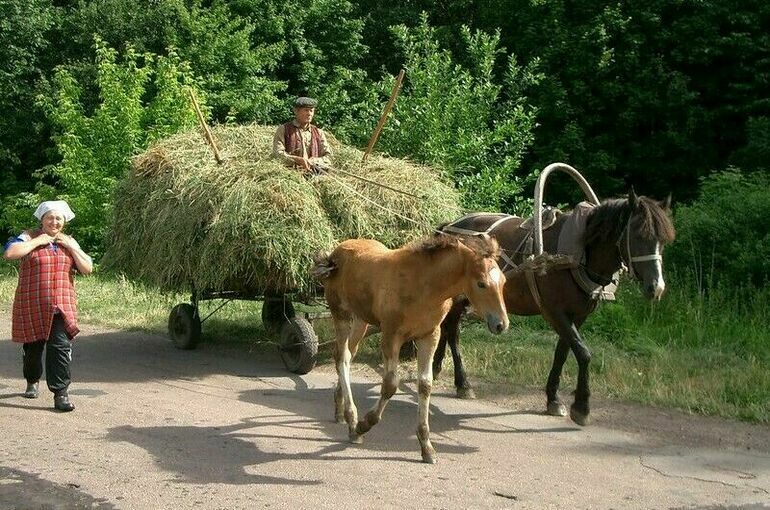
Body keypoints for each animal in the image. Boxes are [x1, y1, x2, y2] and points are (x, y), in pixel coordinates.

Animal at [308, 233, 508, 464]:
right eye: (481, 284)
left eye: (504, 281)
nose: (501, 324)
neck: (423, 285)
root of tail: (336, 253)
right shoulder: (391, 336)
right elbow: (390, 385)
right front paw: (363, 425)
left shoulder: (429, 336)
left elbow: (425, 385)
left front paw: (427, 447)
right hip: (340, 314)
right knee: (341, 356)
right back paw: (352, 420)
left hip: (361, 320)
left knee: (347, 355)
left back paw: (340, 409)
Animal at [432, 191, 672, 426]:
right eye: (639, 235)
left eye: (663, 240)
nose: (656, 287)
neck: (577, 254)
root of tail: (450, 226)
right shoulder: (555, 312)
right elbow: (583, 353)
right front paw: (581, 407)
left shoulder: (577, 316)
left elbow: (562, 353)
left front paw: (553, 399)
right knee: (452, 332)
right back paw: (462, 383)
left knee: (446, 327)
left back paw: (436, 368)